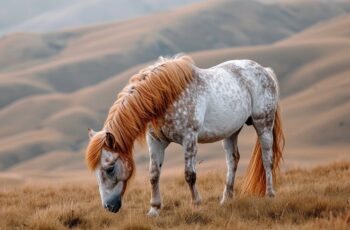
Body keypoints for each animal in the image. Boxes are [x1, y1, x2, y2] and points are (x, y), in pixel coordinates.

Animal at [85, 54, 284, 216]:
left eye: (110, 168)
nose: (109, 207)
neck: (165, 97)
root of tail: (264, 70)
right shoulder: (155, 141)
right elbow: (154, 174)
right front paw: (154, 209)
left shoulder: (189, 138)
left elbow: (189, 175)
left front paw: (196, 204)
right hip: (231, 131)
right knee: (232, 160)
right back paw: (225, 200)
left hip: (263, 125)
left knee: (267, 159)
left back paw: (270, 195)